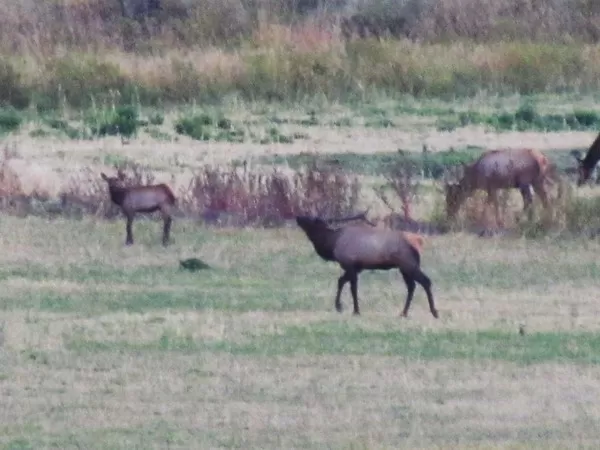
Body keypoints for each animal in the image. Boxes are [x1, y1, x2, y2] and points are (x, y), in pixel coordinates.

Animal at [296, 212, 436, 320]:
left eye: (311, 219)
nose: (298, 217)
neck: (332, 244)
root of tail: (418, 242)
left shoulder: (350, 265)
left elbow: (352, 288)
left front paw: (355, 310)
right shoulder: (356, 268)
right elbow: (341, 281)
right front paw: (339, 306)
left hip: (408, 265)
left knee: (425, 281)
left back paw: (434, 312)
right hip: (405, 268)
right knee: (412, 286)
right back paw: (404, 313)